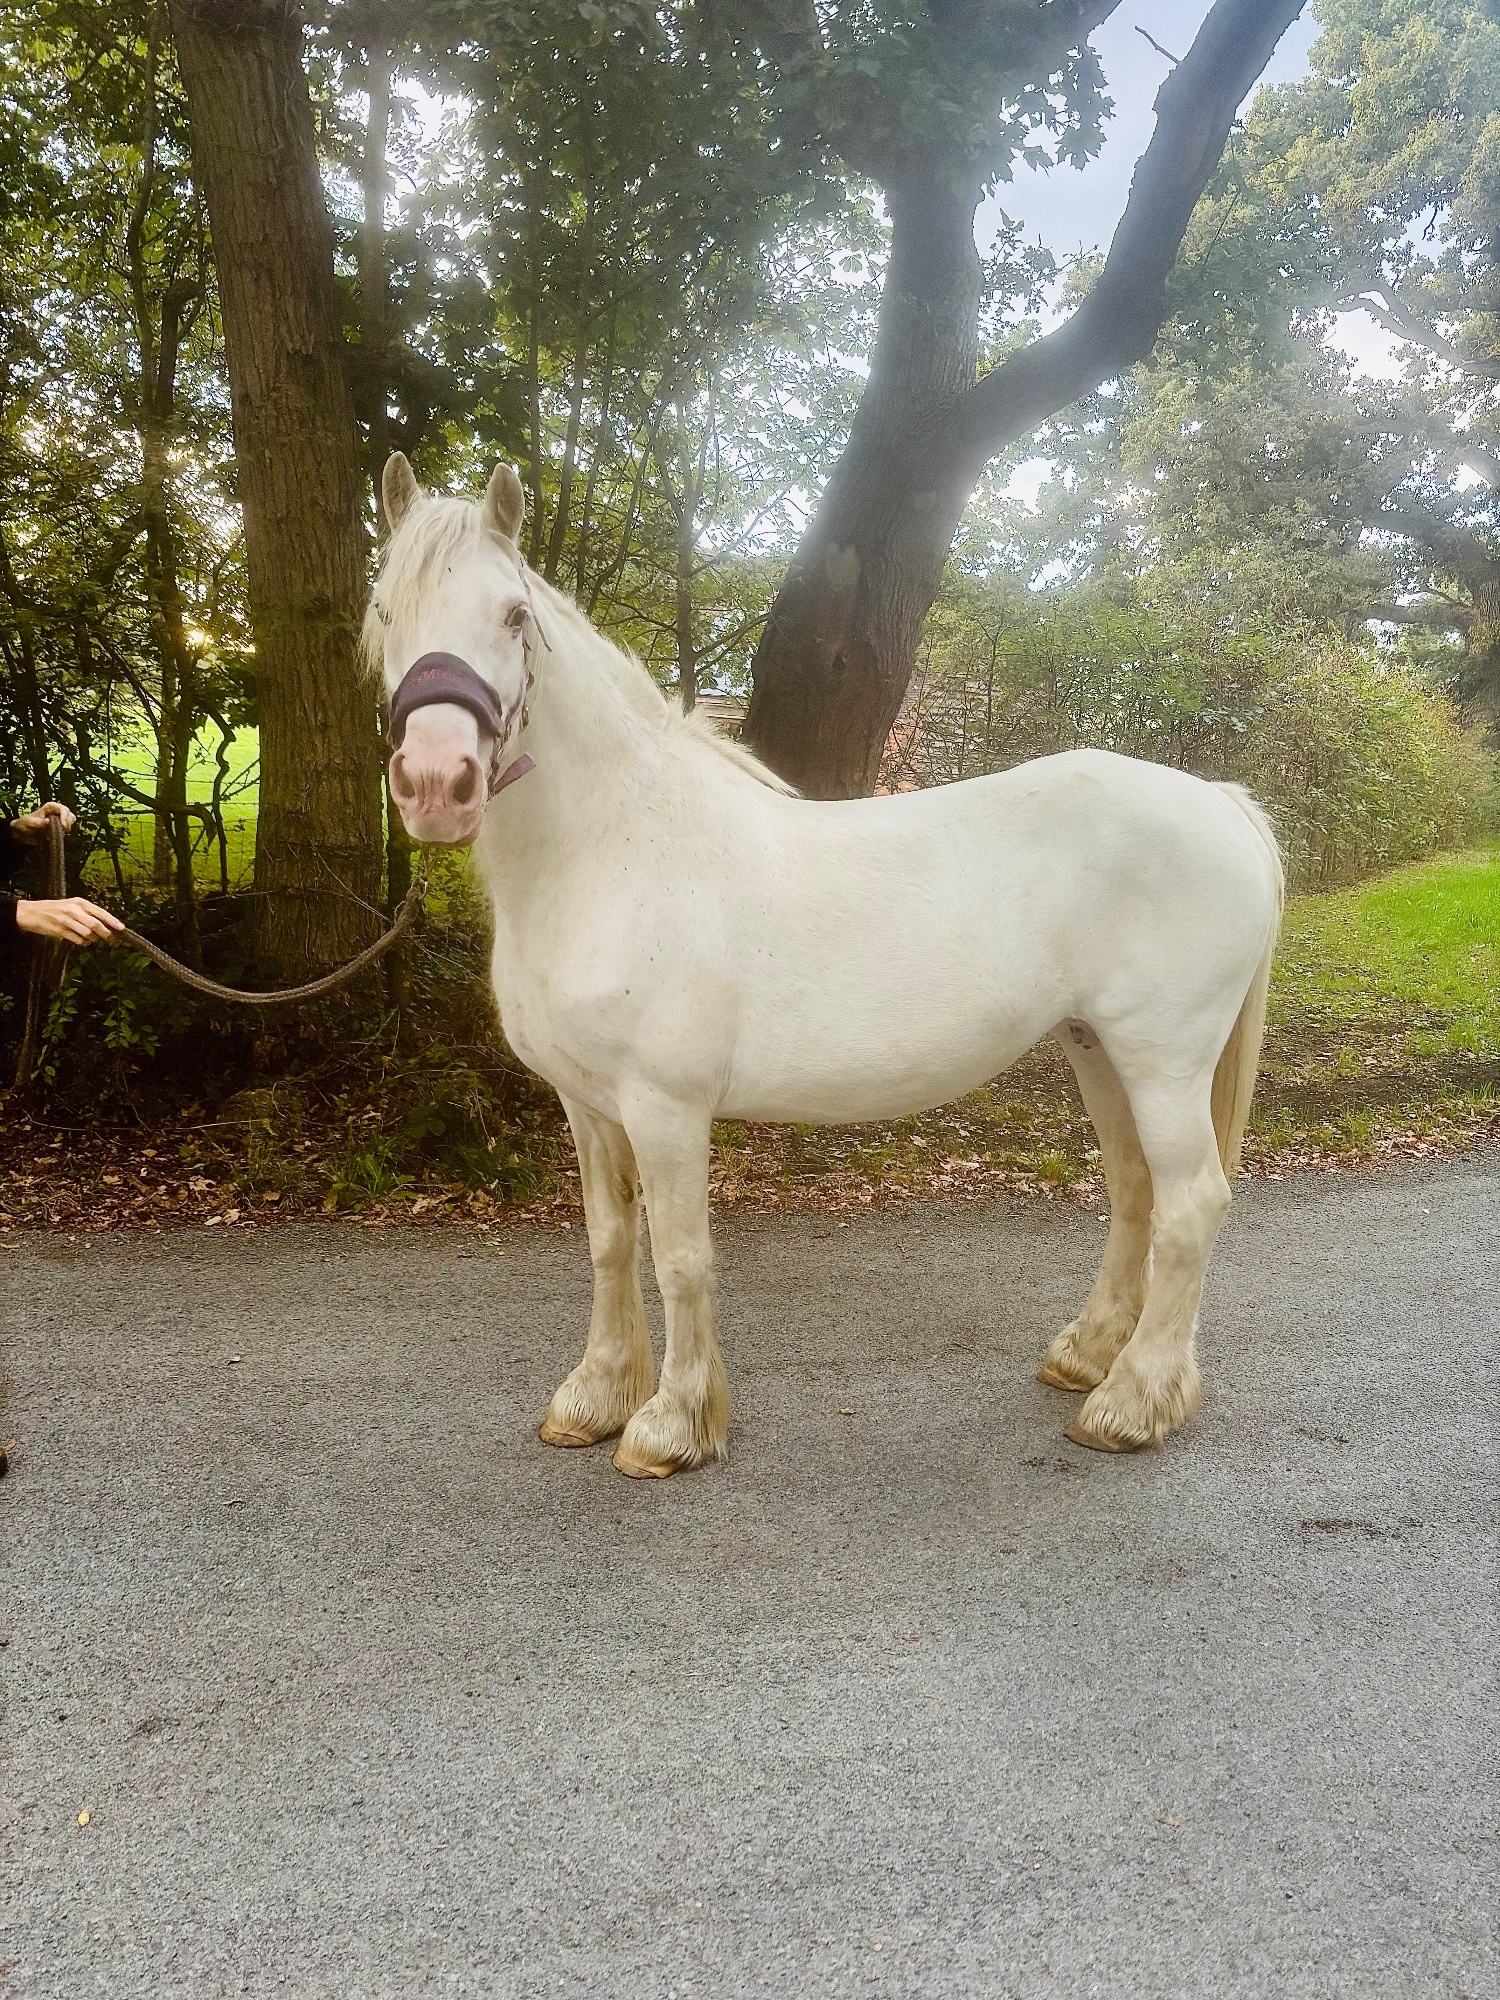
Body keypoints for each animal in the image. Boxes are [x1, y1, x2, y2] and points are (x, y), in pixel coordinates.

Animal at [368, 453, 1284, 1480]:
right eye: (385, 607)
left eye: (514, 615)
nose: (436, 783)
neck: (615, 846)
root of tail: (1219, 800)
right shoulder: (587, 1102)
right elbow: (609, 1242)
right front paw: (595, 1396)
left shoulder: (664, 1104)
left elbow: (679, 1255)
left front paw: (671, 1425)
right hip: (1097, 1048)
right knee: (1135, 1190)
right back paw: (1088, 1358)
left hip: (1164, 1062)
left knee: (1190, 1205)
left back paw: (1131, 1403)